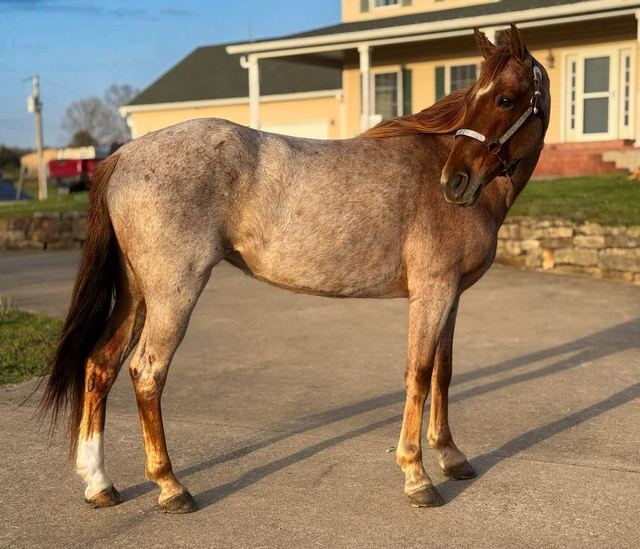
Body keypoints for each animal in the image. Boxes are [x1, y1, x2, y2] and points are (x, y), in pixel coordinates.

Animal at [40, 25, 550, 512]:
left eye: (503, 98)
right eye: (478, 97)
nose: (455, 183)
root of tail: (123, 154)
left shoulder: (451, 296)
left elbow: (443, 372)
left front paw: (451, 456)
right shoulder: (433, 292)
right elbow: (419, 375)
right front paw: (417, 476)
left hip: (136, 293)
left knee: (100, 365)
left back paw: (99, 483)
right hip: (173, 294)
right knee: (147, 372)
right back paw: (171, 487)